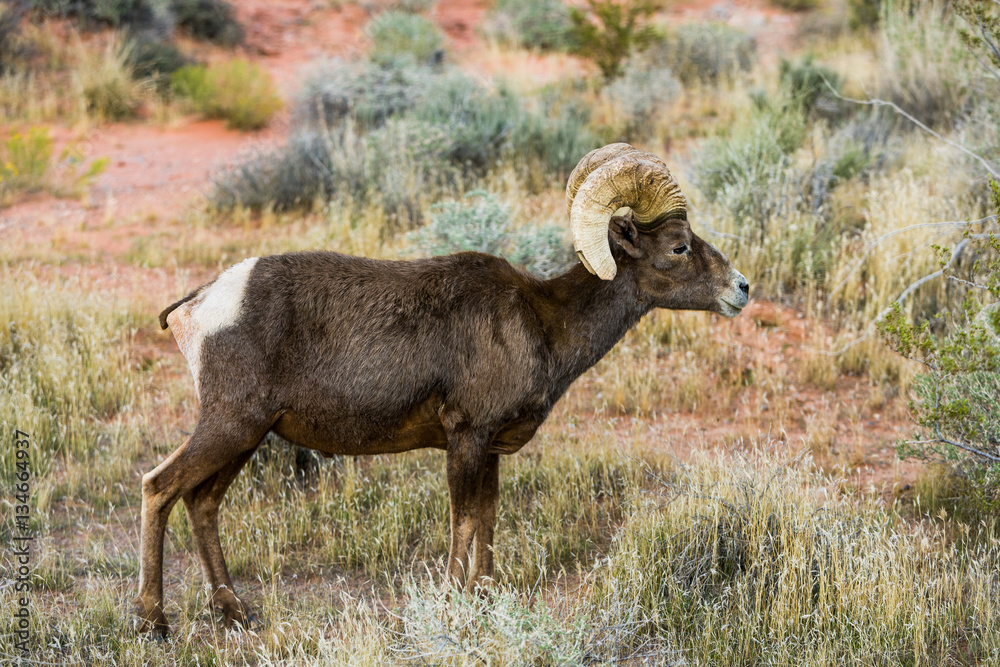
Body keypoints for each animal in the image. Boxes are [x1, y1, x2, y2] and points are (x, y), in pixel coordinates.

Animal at [134, 143, 749, 636]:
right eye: (678, 246)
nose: (741, 289)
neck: (542, 322)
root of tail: (199, 304)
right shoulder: (466, 438)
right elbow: (464, 521)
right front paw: (453, 602)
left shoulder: (491, 448)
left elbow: (489, 519)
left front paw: (485, 597)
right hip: (230, 425)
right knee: (159, 486)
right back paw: (153, 621)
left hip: (246, 436)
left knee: (202, 502)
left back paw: (234, 612)